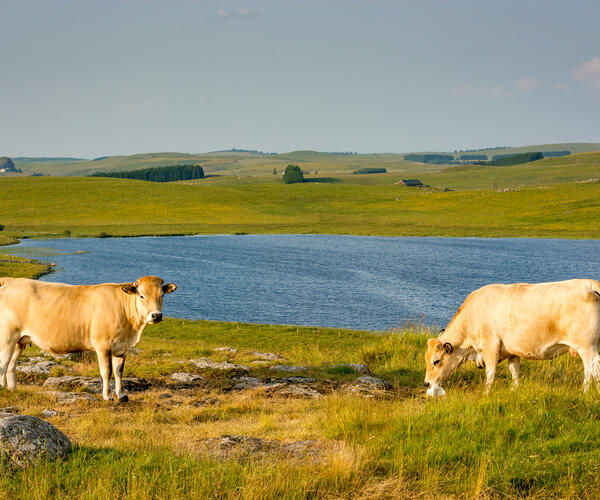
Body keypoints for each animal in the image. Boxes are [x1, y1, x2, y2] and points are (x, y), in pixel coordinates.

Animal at [0, 276, 177, 400]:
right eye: (141, 296)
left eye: (162, 295)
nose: (156, 315)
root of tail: (10, 281)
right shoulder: (103, 345)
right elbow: (107, 371)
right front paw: (107, 396)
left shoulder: (121, 348)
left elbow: (119, 371)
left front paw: (122, 395)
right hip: (7, 336)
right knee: (3, 363)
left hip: (19, 341)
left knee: (11, 365)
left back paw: (12, 389)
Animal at [422, 280, 600, 392]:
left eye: (436, 361)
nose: (426, 383)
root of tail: (589, 284)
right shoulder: (512, 351)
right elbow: (514, 371)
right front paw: (515, 390)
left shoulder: (490, 344)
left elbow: (490, 373)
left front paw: (486, 393)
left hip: (586, 346)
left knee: (592, 367)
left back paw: (586, 392)